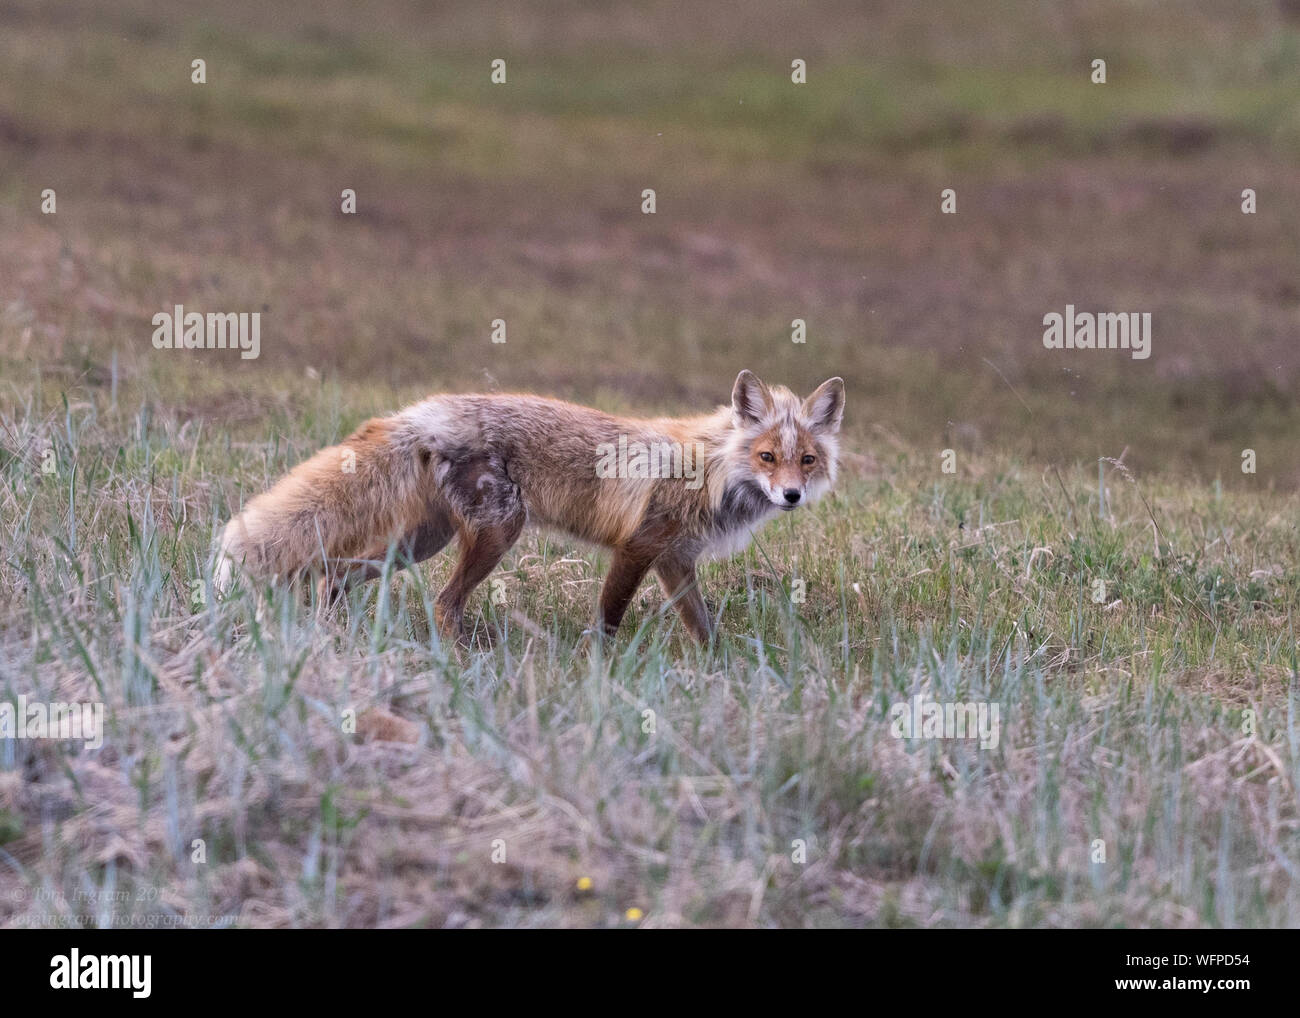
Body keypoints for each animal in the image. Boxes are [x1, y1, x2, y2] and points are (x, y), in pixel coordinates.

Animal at [215, 371, 842, 644]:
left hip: (419, 544)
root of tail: (423, 412)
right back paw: (459, 659)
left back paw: (329, 631)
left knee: (334, 573)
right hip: (497, 534)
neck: (710, 471)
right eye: (766, 457)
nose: (790, 495)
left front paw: (719, 669)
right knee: (443, 604)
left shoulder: (674, 559)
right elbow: (608, 618)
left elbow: (703, 627)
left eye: (806, 461)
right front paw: (601, 667)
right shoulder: (637, 546)